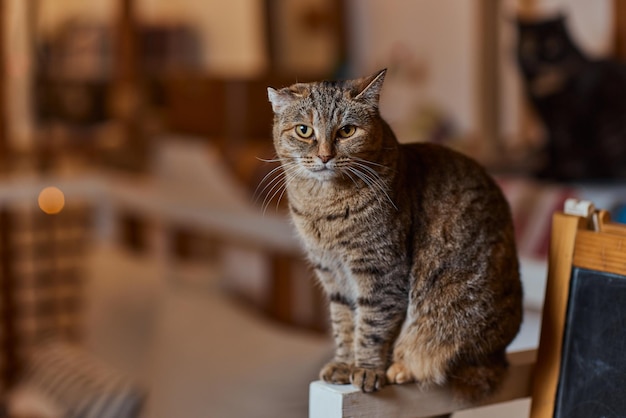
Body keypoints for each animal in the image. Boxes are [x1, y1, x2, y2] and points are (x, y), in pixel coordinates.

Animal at [264, 70, 520, 400]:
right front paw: (344, 364)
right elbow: (344, 325)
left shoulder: (382, 272)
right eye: (304, 130)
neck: (324, 207)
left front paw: (367, 369)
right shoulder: (332, 274)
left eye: (347, 131)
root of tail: (501, 355)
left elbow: (372, 327)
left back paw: (400, 368)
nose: (324, 156)